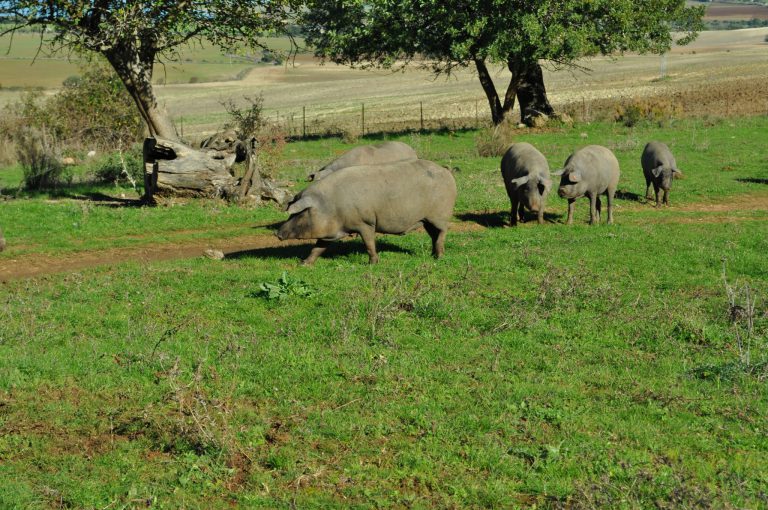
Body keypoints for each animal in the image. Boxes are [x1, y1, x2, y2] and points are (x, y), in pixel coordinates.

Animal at [278, 159, 452, 264]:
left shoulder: (365, 223)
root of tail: (446, 171)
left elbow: (369, 243)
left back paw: (439, 257)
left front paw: (373, 263)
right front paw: (304, 264)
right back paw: (433, 255)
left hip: (440, 216)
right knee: (433, 235)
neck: (332, 206)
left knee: (442, 233)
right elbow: (318, 247)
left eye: (297, 214)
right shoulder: (329, 233)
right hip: (426, 220)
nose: (277, 233)